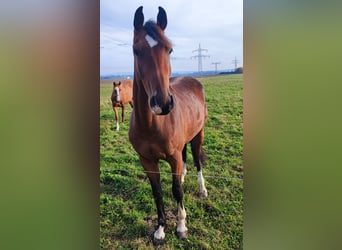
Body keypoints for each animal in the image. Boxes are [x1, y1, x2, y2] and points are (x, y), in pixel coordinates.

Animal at [129, 6, 207, 243]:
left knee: (197, 161)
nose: (162, 103)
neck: (152, 125)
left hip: (198, 136)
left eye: (170, 50)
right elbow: (158, 192)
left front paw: (181, 226)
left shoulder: (173, 157)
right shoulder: (147, 161)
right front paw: (160, 229)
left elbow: (177, 191)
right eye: (136, 50)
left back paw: (202, 190)